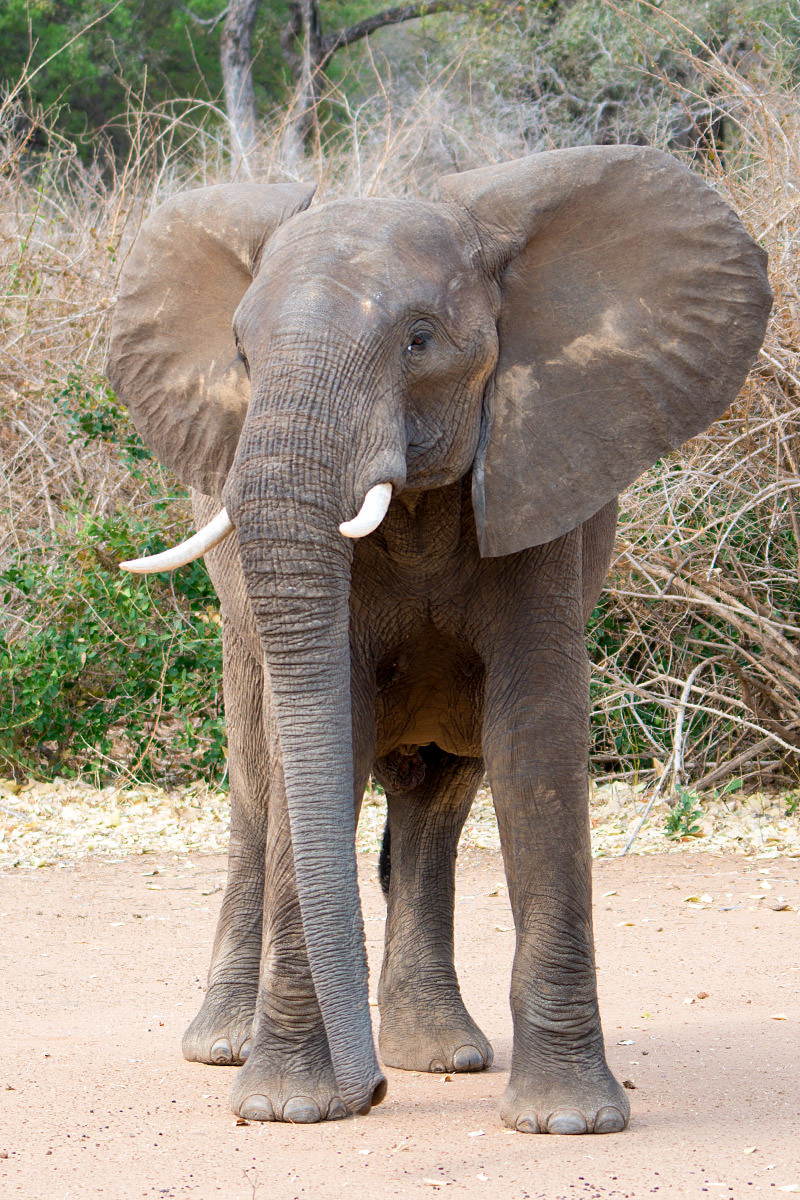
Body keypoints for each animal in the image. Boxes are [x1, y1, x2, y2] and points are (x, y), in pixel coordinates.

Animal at [104, 147, 767, 1132]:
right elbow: (319, 735)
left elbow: (535, 739)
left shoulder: (541, 473)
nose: (370, 1090)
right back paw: (225, 1047)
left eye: (418, 340)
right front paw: (287, 1107)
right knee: (261, 778)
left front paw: (568, 1122)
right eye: (241, 353)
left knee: (439, 794)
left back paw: (439, 1054)